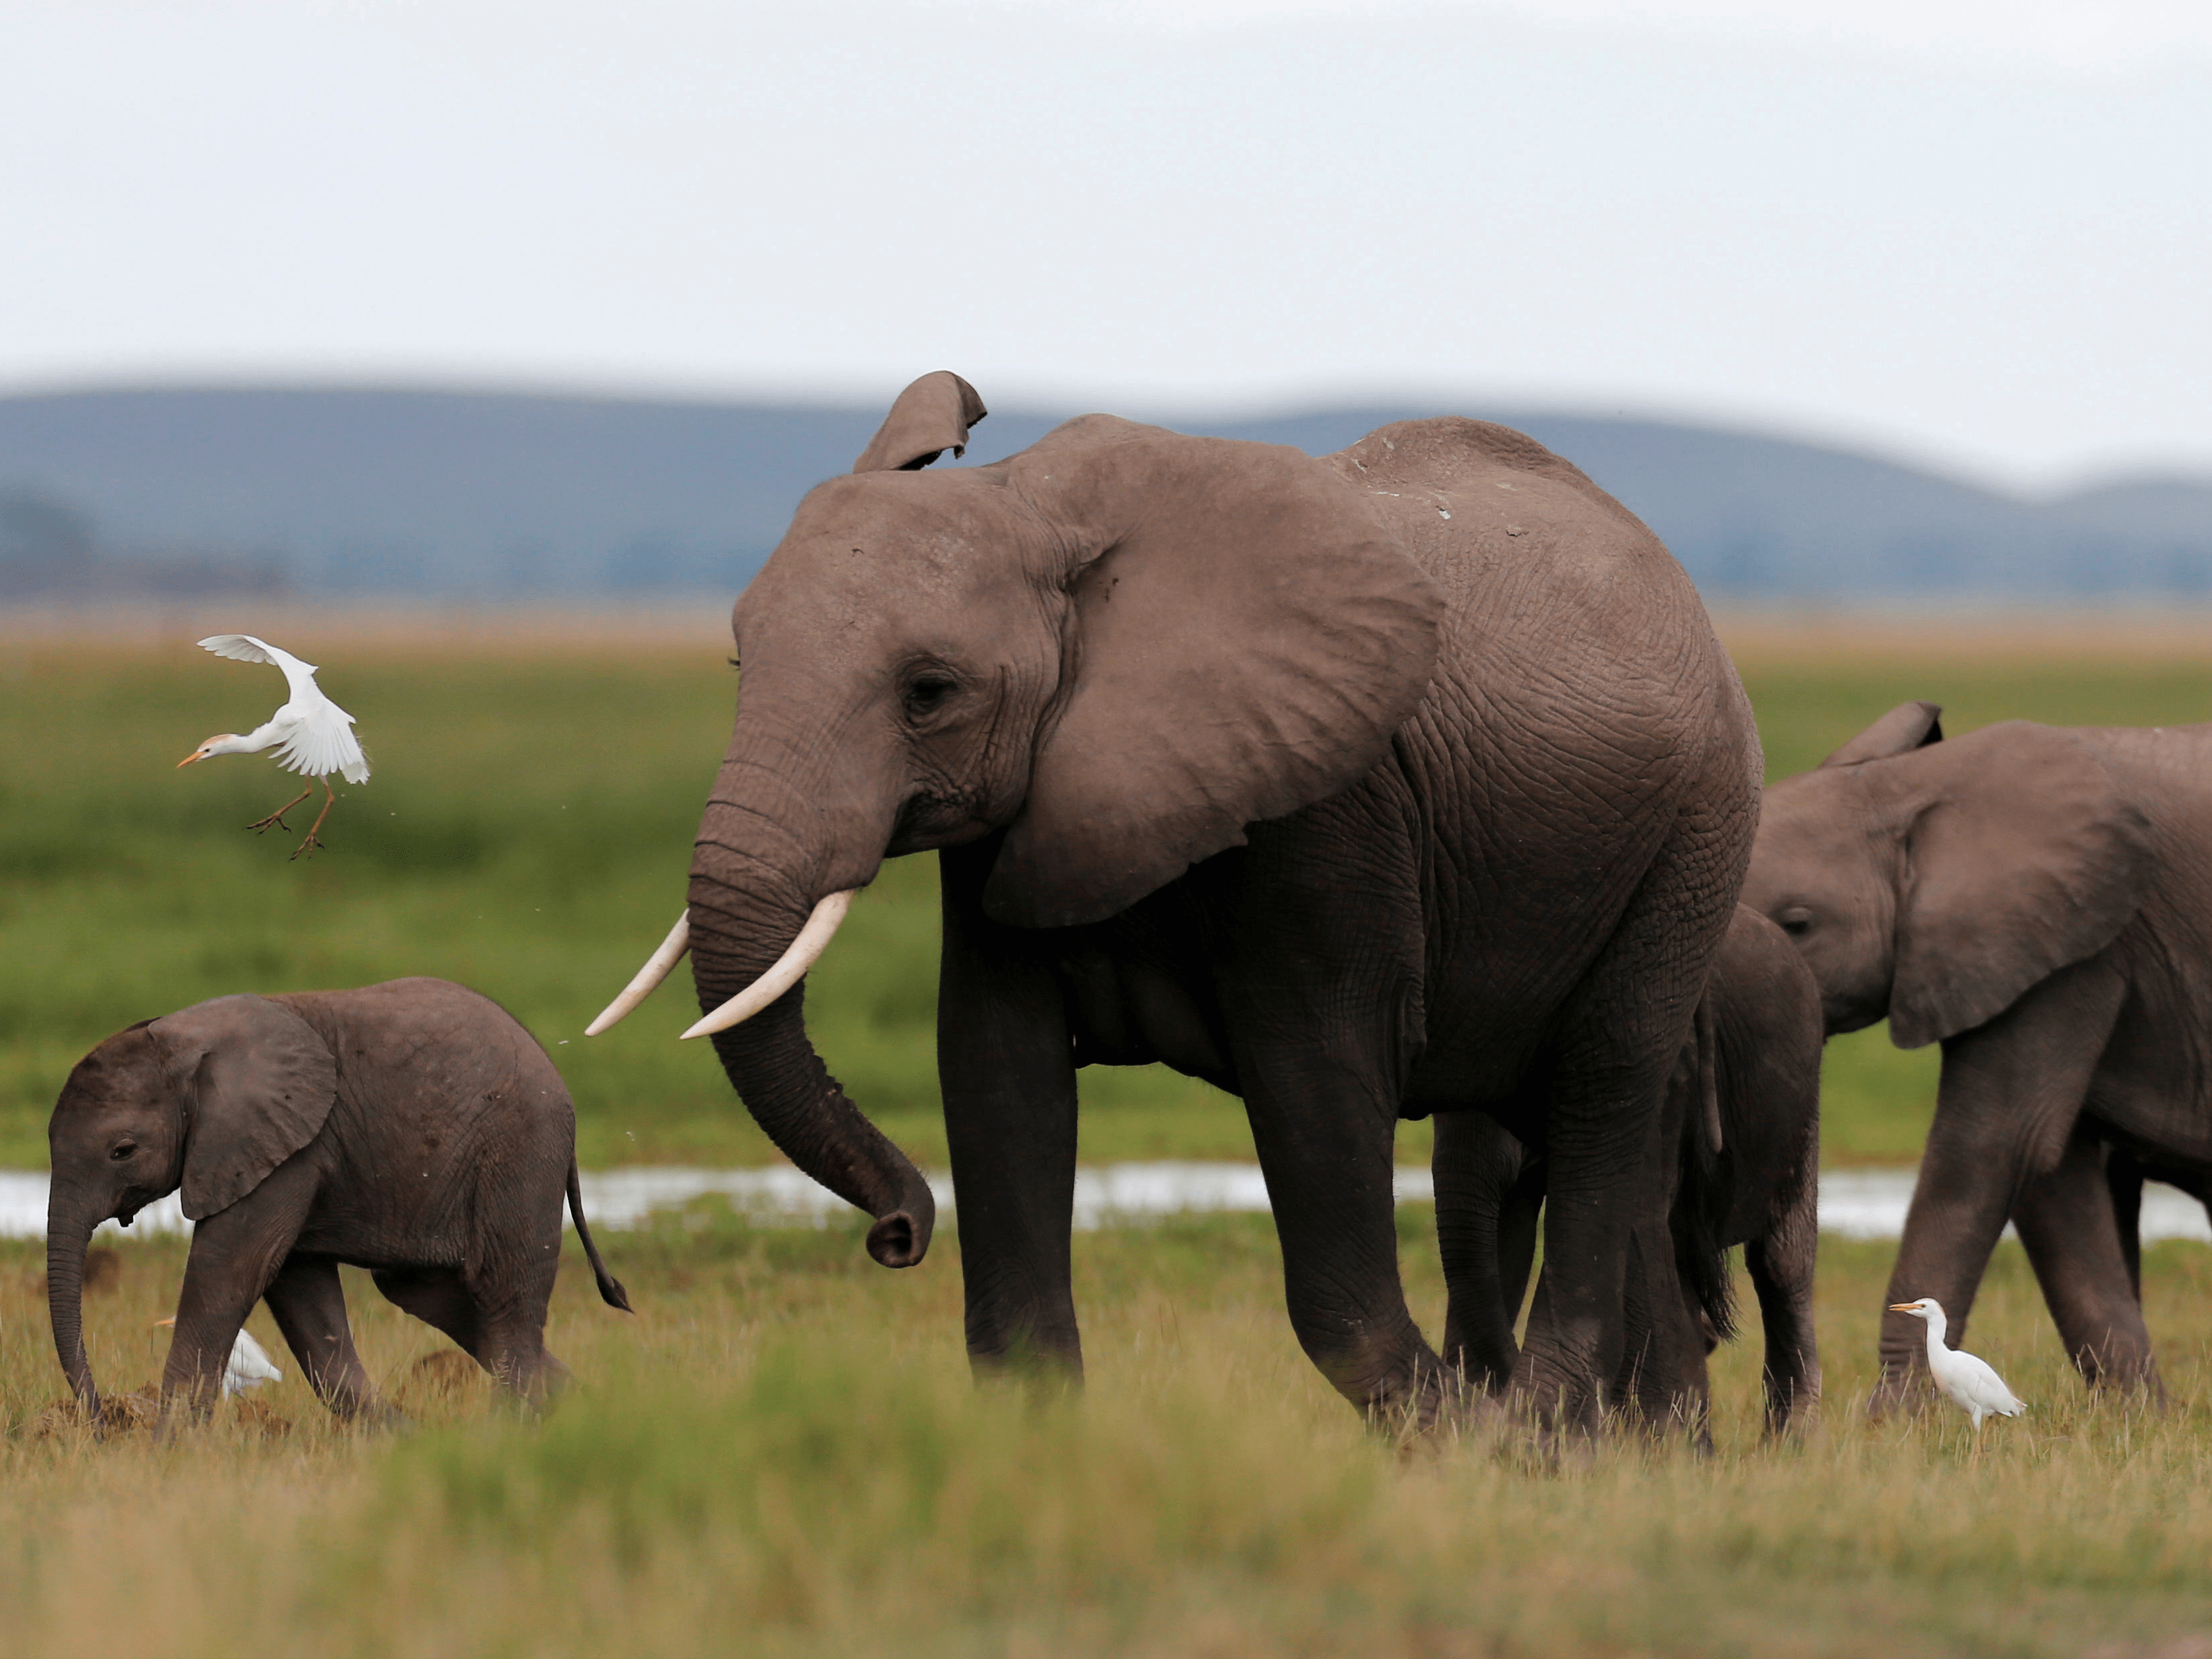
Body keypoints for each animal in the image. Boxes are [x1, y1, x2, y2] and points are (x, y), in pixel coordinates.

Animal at [47, 978, 631, 1426]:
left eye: (123, 1150)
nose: (101, 1423)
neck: (183, 1038)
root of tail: (554, 1071)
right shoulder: (284, 1151)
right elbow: (300, 1295)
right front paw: (402, 1441)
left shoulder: (284, 1149)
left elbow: (228, 1273)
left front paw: (168, 1452)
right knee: (436, 1296)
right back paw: (579, 1407)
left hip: (520, 1150)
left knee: (504, 1297)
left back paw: (513, 1431)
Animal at [591, 371, 1761, 1431]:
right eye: (738, 662)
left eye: (929, 693)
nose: (897, 1234)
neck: (1035, 505)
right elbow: (995, 1067)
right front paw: (1041, 1450)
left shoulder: (1329, 806)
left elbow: (1316, 1079)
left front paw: (1452, 1439)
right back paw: (1634, 1454)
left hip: (1693, 837)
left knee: (1603, 1091)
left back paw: (1535, 1433)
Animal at [1741, 699, 2209, 1409]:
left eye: (1798, 923)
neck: (1914, 786)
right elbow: (2051, 1175)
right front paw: (2141, 1416)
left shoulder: (2075, 947)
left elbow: (1991, 1149)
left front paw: (1893, 1420)